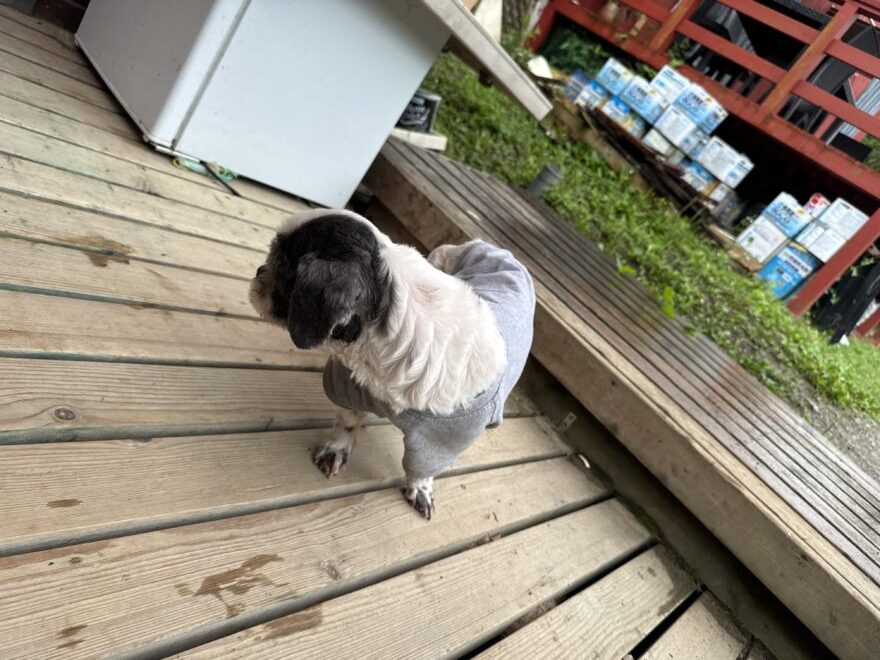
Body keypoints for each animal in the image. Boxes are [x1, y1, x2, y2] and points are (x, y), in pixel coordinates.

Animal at [249, 209, 535, 518]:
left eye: (282, 269)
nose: (259, 271)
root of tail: (499, 251)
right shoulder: (349, 391)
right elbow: (347, 422)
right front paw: (337, 449)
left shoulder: (444, 439)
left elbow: (422, 467)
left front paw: (420, 488)